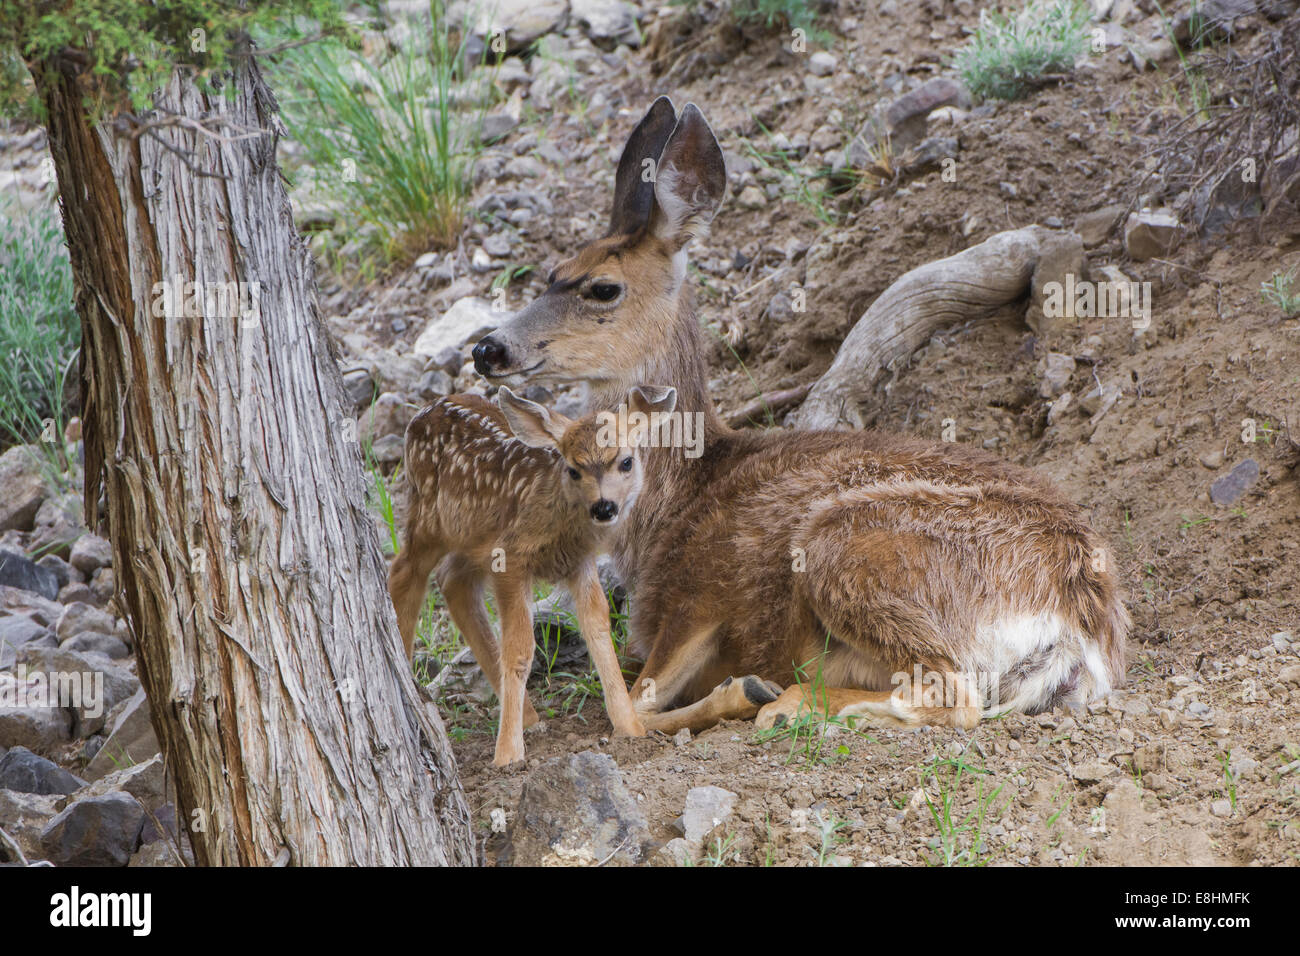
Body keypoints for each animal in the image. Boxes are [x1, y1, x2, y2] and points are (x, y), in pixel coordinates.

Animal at [470, 97, 1128, 738]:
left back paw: (789, 704)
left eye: (602, 288)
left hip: (844, 546)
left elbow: (629, 712)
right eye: (551, 273)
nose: (488, 348)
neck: (671, 504)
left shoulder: (697, 600)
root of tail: (1080, 627)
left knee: (951, 692)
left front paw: (742, 692)